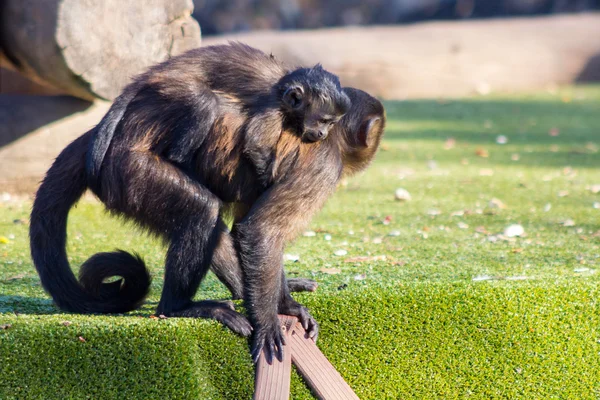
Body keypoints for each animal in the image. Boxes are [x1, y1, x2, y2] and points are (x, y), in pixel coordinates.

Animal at [28, 42, 384, 364]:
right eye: (325, 121)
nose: (320, 133)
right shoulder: (323, 165)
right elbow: (260, 230)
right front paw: (275, 316)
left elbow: (246, 226)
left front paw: (283, 302)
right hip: (130, 173)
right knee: (202, 207)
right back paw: (179, 308)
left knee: (214, 221)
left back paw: (239, 291)